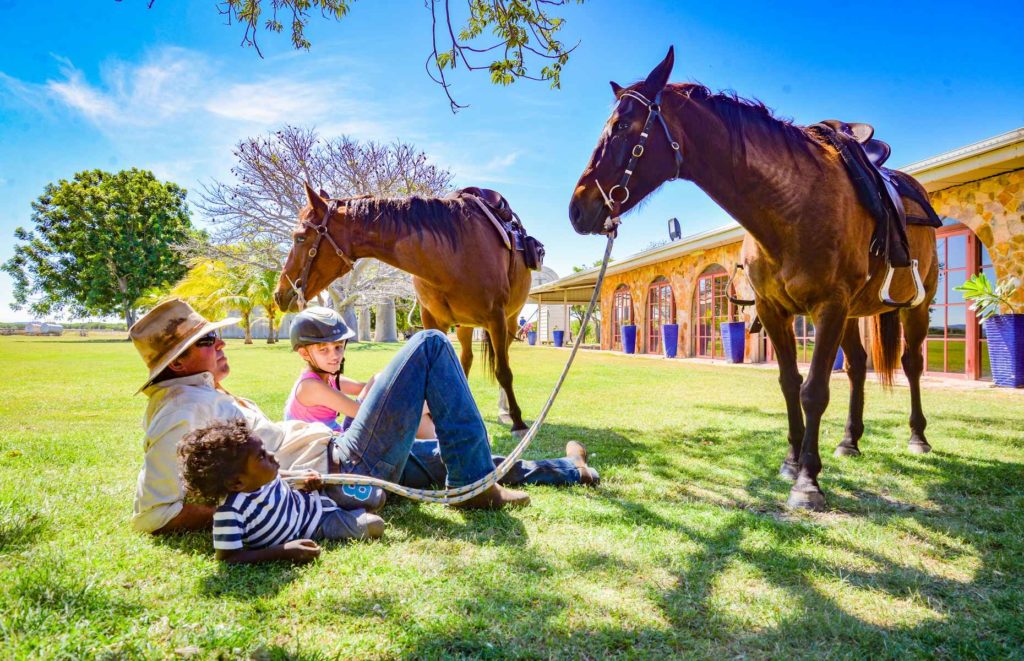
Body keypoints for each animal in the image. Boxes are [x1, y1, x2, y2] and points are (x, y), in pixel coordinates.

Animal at [276, 186, 532, 435]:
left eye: (300, 237)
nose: (280, 294)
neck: (451, 256)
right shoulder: (433, 321)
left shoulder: (496, 318)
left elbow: (503, 371)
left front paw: (518, 422)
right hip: (464, 326)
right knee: (466, 359)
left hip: (509, 321)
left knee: (502, 359)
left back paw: (506, 411)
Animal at [573, 46, 937, 513]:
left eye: (621, 127)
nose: (577, 209)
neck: (793, 203)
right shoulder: (775, 310)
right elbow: (789, 384)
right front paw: (792, 461)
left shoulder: (828, 307)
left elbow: (815, 390)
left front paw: (808, 482)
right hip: (854, 314)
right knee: (857, 367)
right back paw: (849, 441)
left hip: (914, 307)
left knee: (911, 364)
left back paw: (917, 436)